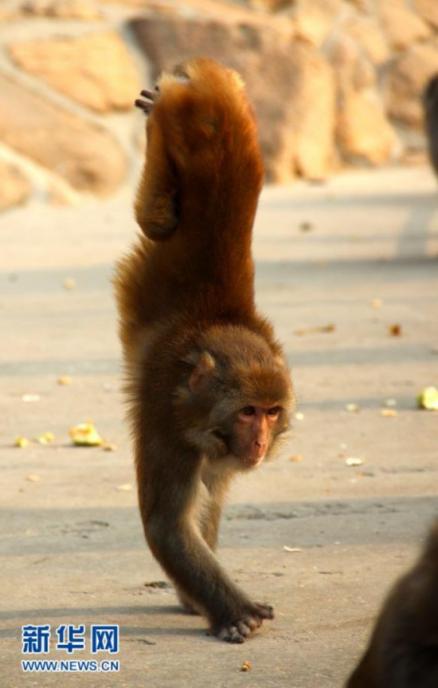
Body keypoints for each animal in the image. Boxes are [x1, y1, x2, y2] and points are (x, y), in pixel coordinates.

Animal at [114, 56, 294, 644]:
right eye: (247, 411)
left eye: (271, 413)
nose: (258, 443)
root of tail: (215, 86)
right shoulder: (166, 418)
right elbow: (168, 524)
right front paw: (230, 609)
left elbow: (208, 501)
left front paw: (195, 599)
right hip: (188, 125)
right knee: (155, 219)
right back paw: (153, 122)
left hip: (229, 109)